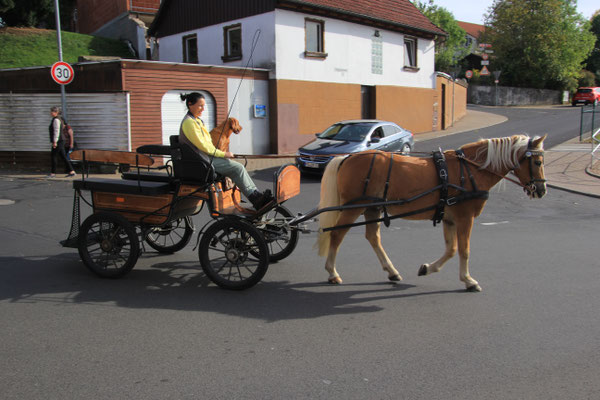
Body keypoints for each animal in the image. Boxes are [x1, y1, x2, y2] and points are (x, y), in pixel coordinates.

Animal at [316, 134, 548, 290]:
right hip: (354, 208)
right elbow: (464, 250)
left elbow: (451, 249)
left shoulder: (449, 219)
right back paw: (332, 272)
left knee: (372, 237)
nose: (542, 190)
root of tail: (347, 157)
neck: (470, 170)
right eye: (537, 161)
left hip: (371, 208)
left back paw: (392, 271)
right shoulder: (465, 218)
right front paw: (468, 280)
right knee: (337, 234)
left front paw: (428, 268)